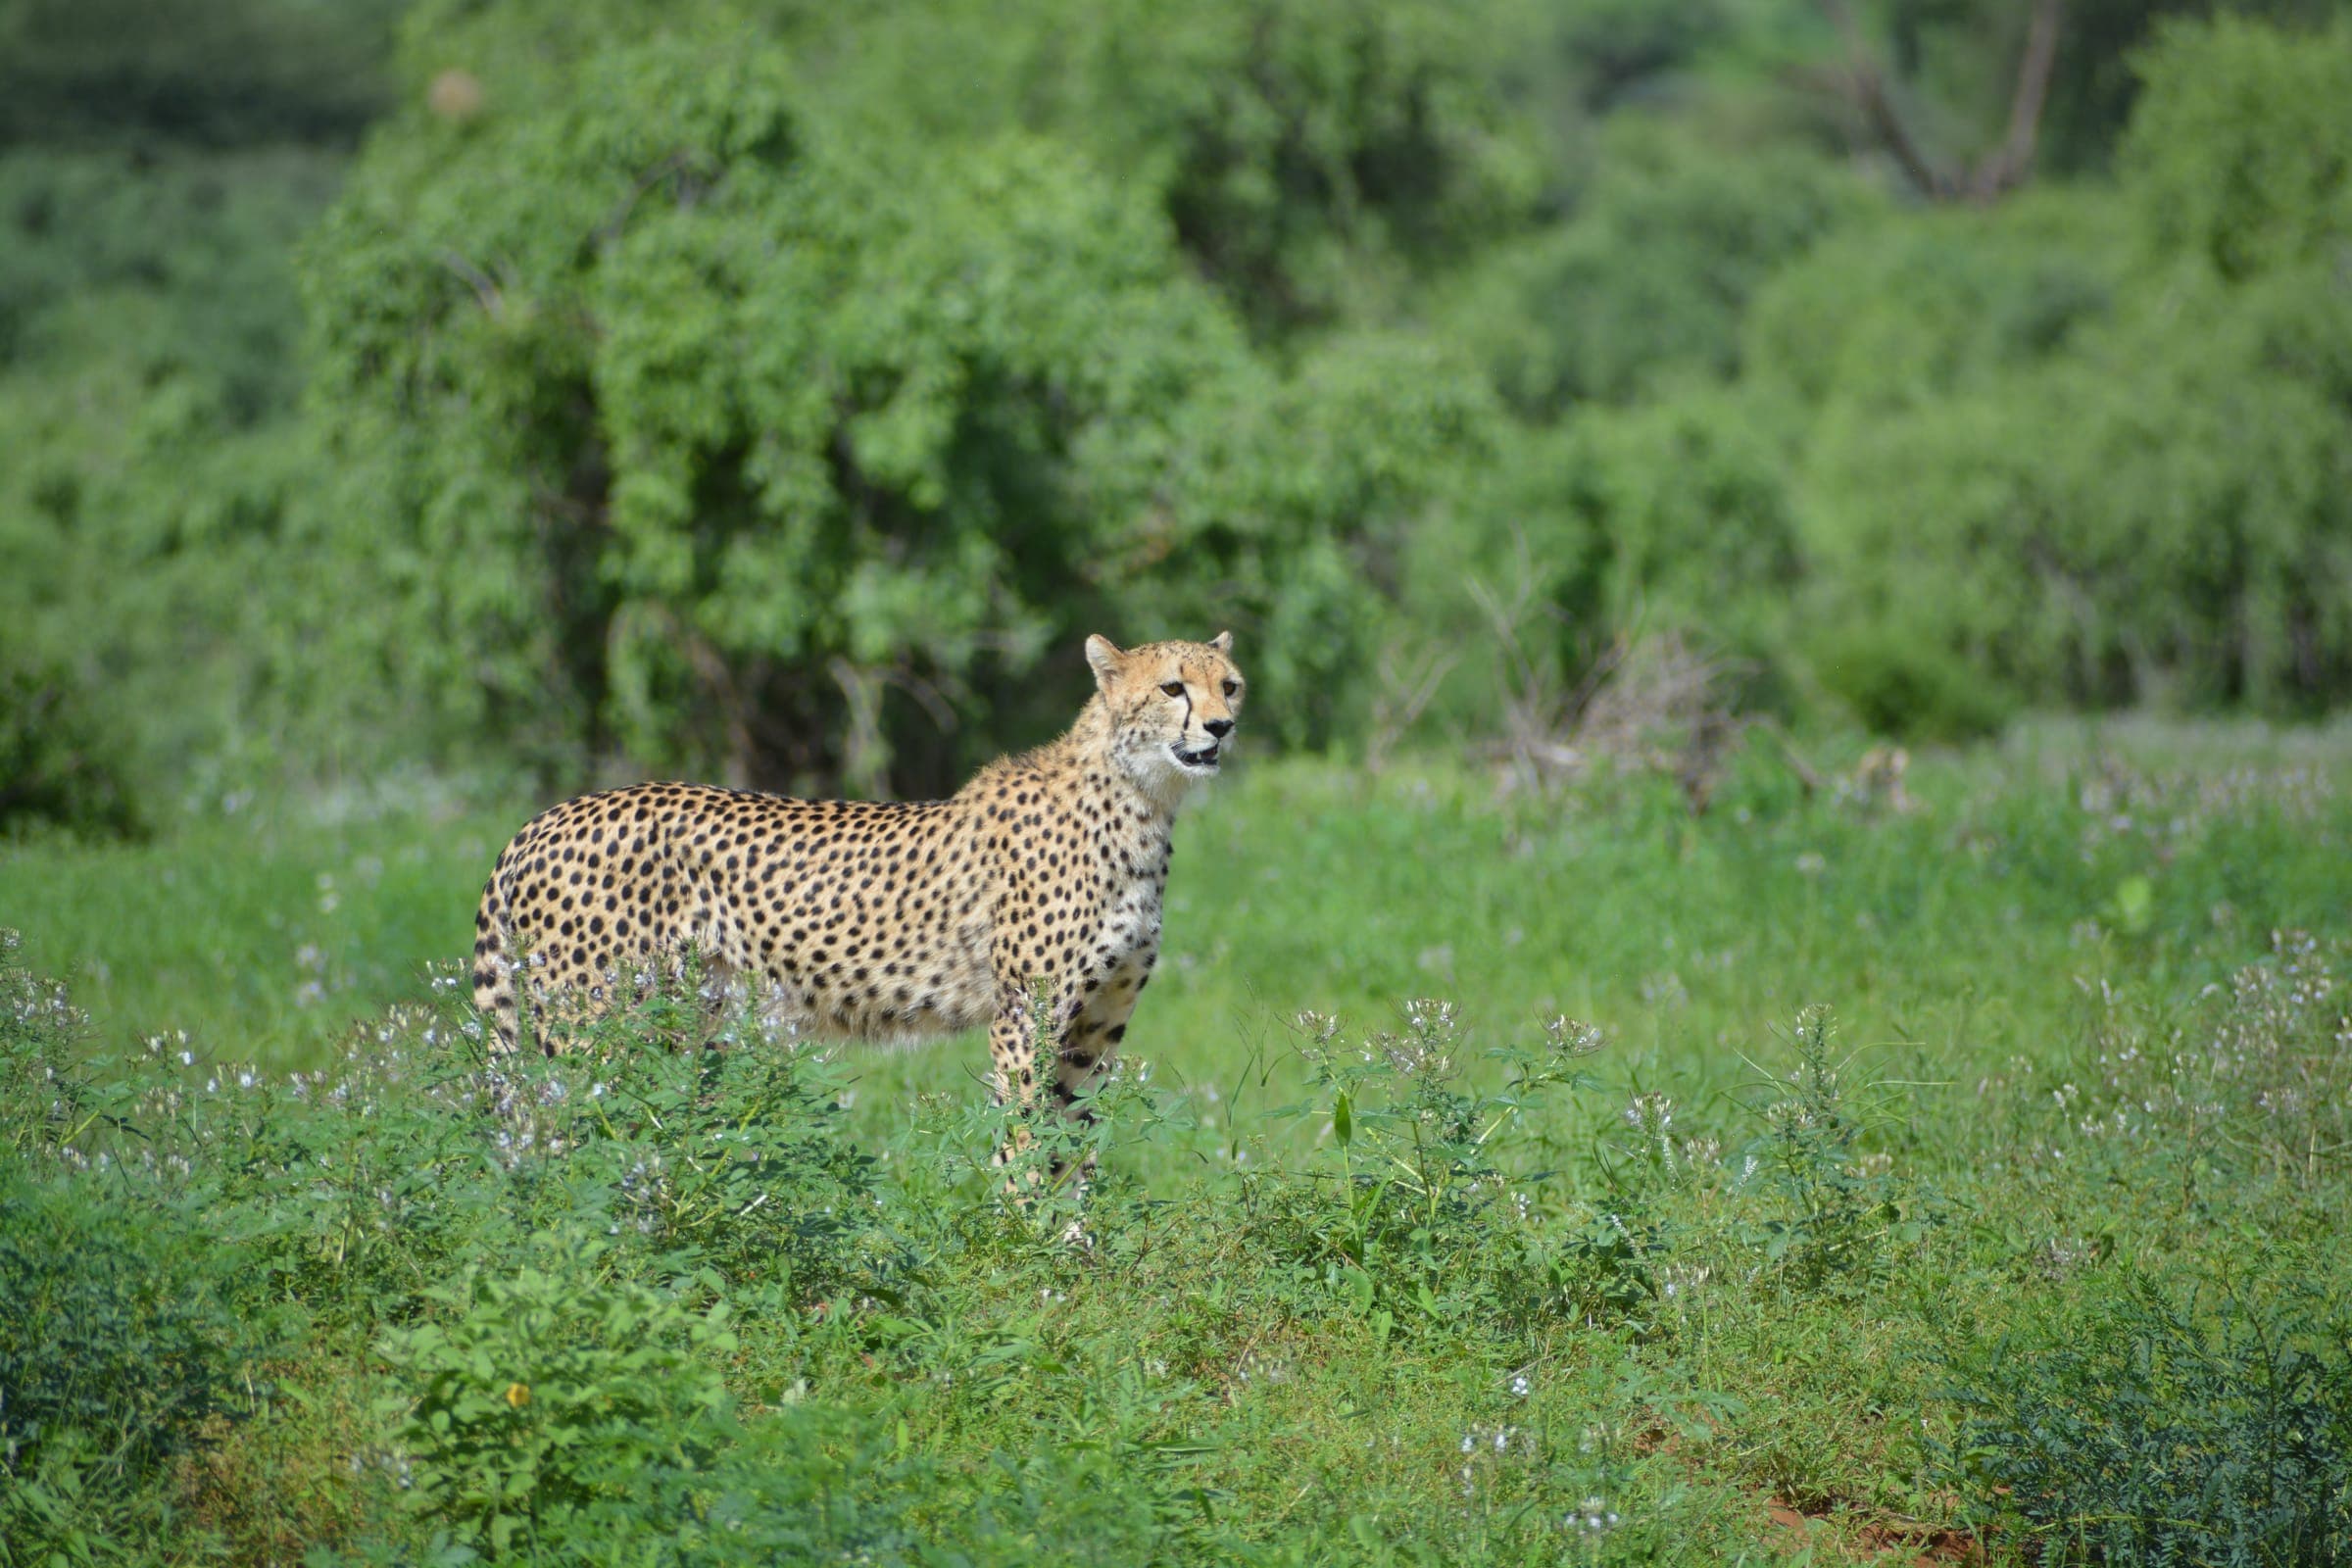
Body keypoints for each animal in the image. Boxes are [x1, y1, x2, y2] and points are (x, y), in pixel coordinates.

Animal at [469, 632, 1244, 1136]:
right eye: (1172, 687)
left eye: (1229, 684)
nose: (1221, 726)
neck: (1142, 800)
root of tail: (544, 817)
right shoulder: (1025, 1015)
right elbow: (1025, 1139)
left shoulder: (1095, 1022)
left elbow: (1076, 1145)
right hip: (594, 1024)